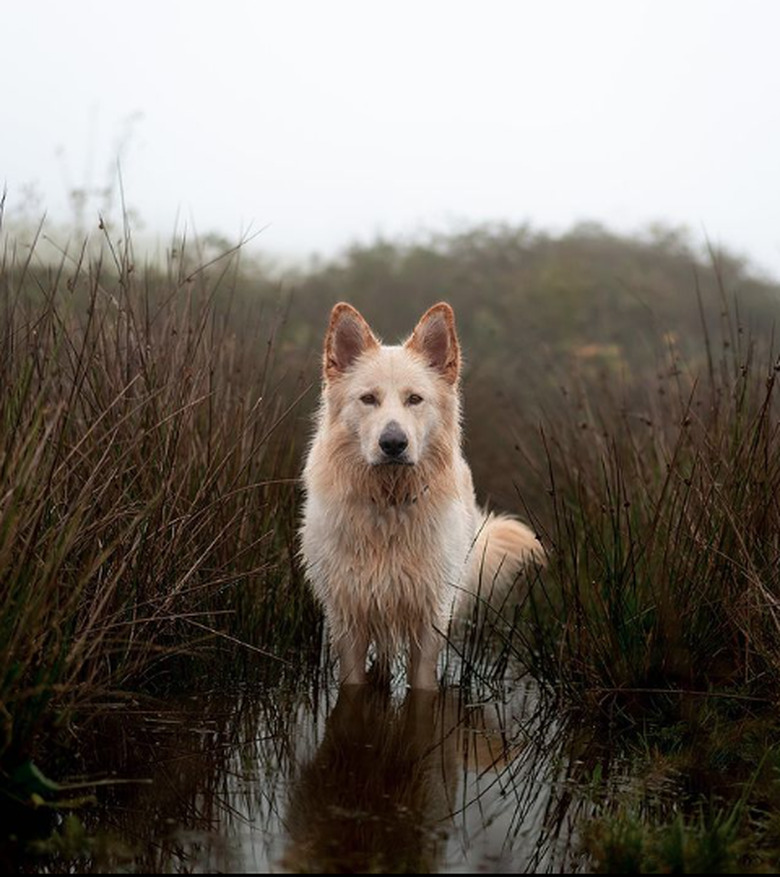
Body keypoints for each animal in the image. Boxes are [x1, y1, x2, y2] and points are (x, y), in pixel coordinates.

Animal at [298, 304, 544, 688]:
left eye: (414, 399)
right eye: (368, 399)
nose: (393, 443)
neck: (389, 502)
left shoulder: (430, 620)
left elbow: (423, 683)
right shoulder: (349, 619)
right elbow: (353, 681)